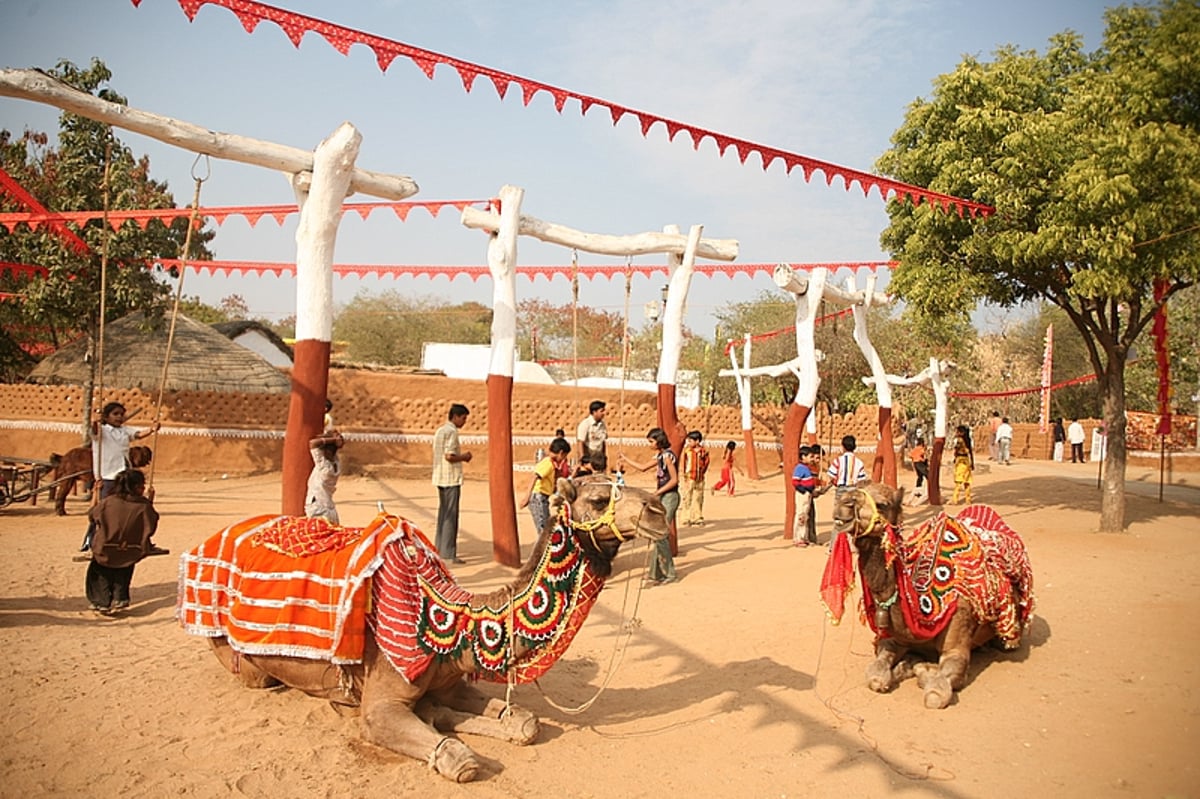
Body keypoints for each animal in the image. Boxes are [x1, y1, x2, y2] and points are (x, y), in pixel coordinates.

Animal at [177, 472, 667, 777]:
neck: (456, 619)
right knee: (259, 675)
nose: (659, 510)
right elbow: (457, 758)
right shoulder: (382, 700)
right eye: (599, 499)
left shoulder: (451, 679)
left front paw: (461, 717)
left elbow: (523, 722)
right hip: (236, 653)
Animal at [830, 482, 1036, 705]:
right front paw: (906, 666)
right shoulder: (892, 640)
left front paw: (920, 668)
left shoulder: (956, 646)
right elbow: (875, 676)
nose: (844, 503)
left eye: (882, 504)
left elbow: (937, 693)